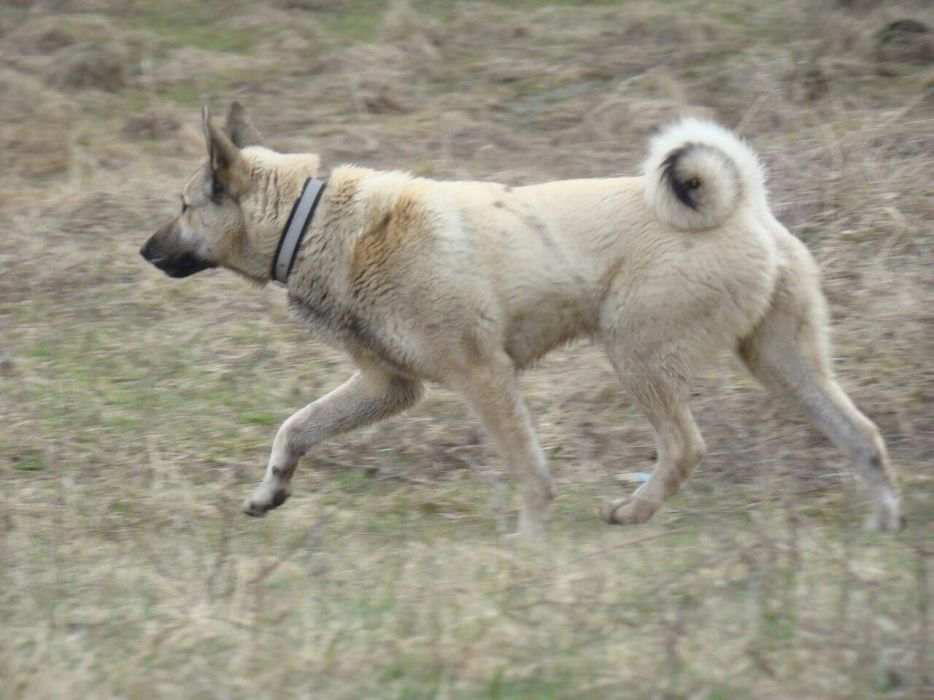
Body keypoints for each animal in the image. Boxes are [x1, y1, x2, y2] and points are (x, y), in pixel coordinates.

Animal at [141, 101, 908, 536]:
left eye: (183, 206)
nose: (143, 251)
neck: (317, 218)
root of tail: (746, 205)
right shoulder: (390, 387)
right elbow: (296, 429)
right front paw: (270, 492)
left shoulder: (484, 377)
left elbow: (528, 471)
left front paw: (530, 546)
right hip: (783, 365)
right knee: (863, 437)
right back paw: (884, 522)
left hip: (635, 356)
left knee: (686, 448)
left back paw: (631, 513)